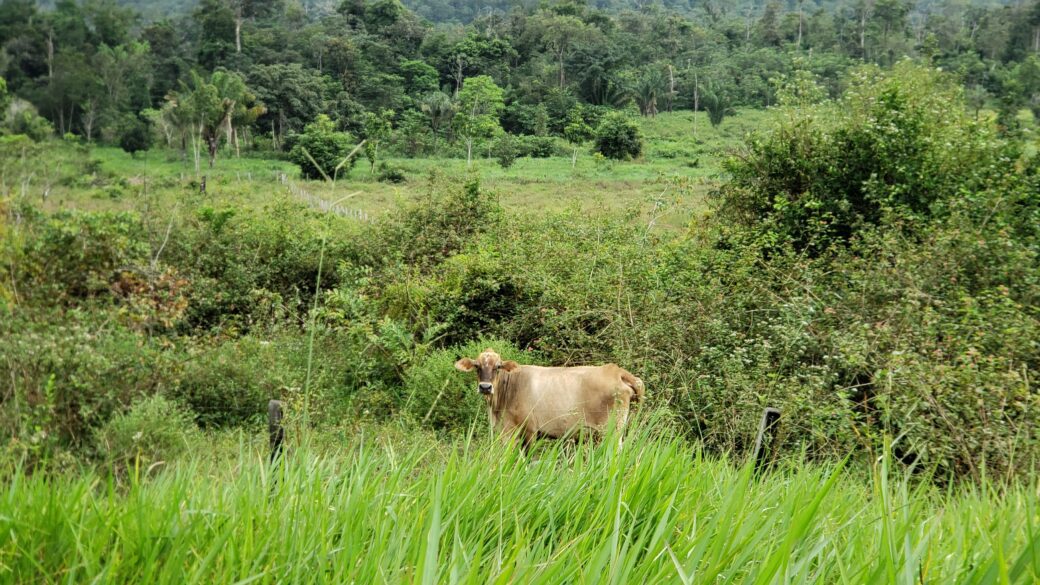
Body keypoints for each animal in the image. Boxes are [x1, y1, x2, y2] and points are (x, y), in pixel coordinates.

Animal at [453, 345, 640, 445]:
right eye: (477, 366)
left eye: (498, 366)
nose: (485, 387)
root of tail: (615, 370)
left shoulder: (527, 431)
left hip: (611, 431)